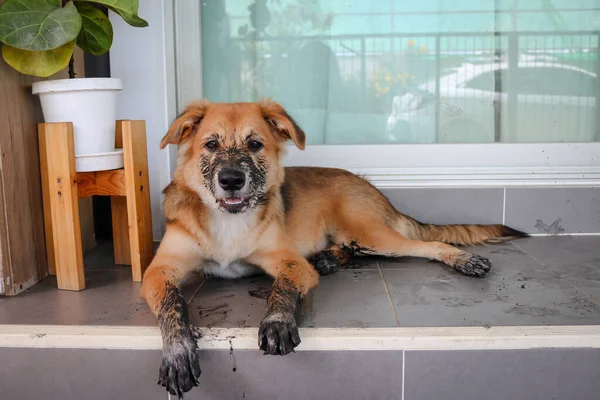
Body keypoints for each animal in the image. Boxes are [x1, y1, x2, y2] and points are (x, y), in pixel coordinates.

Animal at [141, 98, 524, 396]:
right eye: (210, 145)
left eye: (254, 145)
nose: (231, 180)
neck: (227, 221)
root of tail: (372, 187)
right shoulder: (159, 271)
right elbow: (172, 304)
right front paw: (177, 350)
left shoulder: (290, 262)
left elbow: (281, 290)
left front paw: (278, 322)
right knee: (355, 251)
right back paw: (328, 258)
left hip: (370, 232)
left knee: (428, 243)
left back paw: (464, 259)